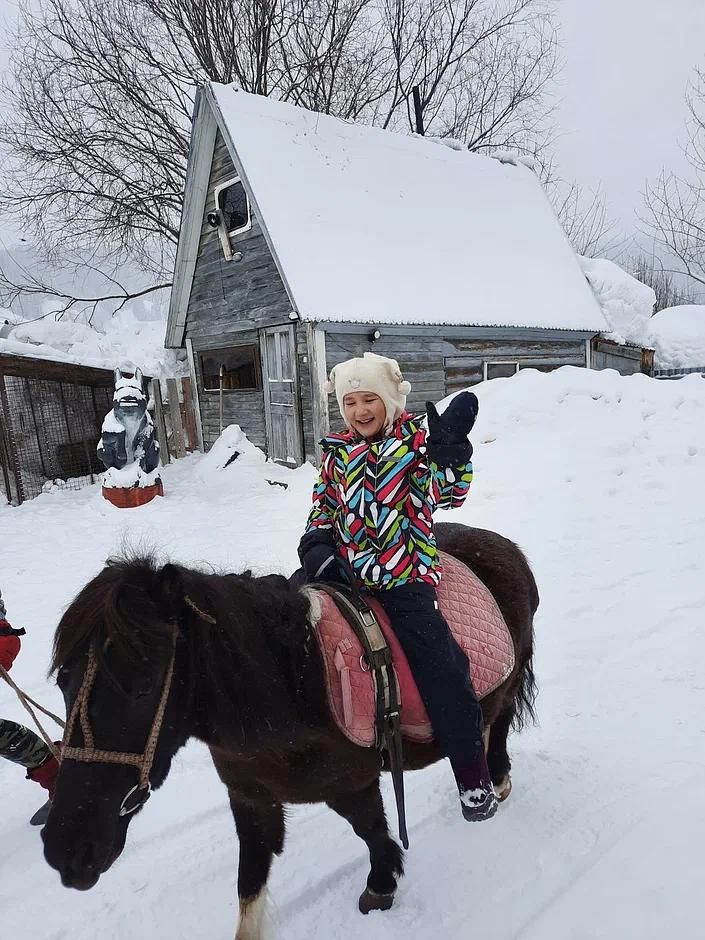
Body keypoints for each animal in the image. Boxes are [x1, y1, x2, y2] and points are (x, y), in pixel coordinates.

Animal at [41, 524, 536, 936]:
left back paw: (490, 784)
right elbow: (248, 892)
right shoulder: (250, 801)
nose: (66, 849)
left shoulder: (353, 785)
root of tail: (504, 546)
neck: (292, 685)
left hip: (506, 682)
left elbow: (374, 833)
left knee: (497, 723)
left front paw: (381, 885)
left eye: (143, 687)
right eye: (63, 681)